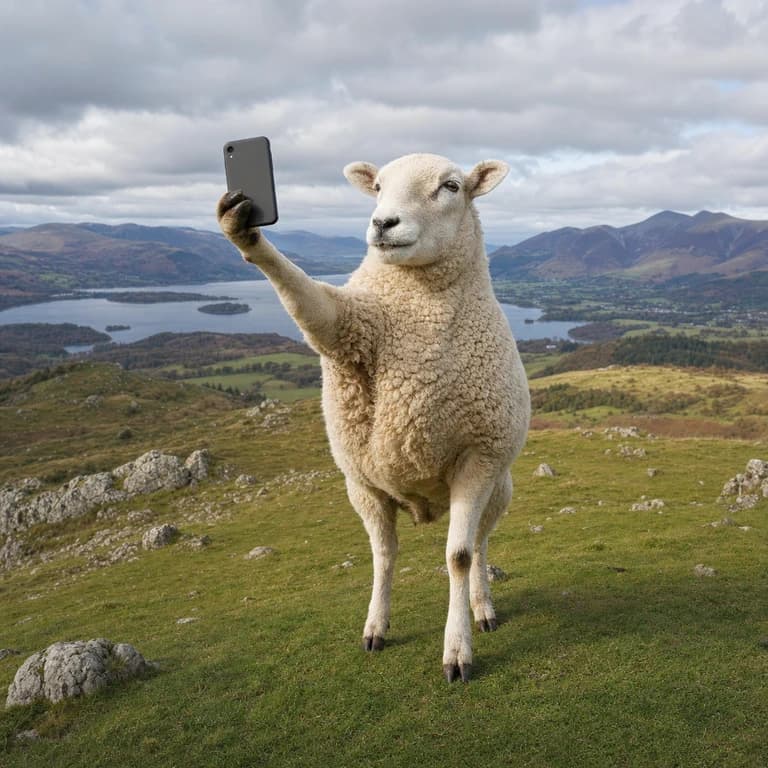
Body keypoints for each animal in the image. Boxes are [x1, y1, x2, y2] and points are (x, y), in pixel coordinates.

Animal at [217, 153, 530, 682]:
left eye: (451, 186)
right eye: (379, 186)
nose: (383, 223)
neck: (416, 300)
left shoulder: (477, 456)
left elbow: (459, 557)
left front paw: (457, 650)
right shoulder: (352, 327)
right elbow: (311, 305)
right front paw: (243, 231)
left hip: (498, 488)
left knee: (480, 544)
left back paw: (482, 606)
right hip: (364, 485)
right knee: (385, 554)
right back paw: (379, 624)